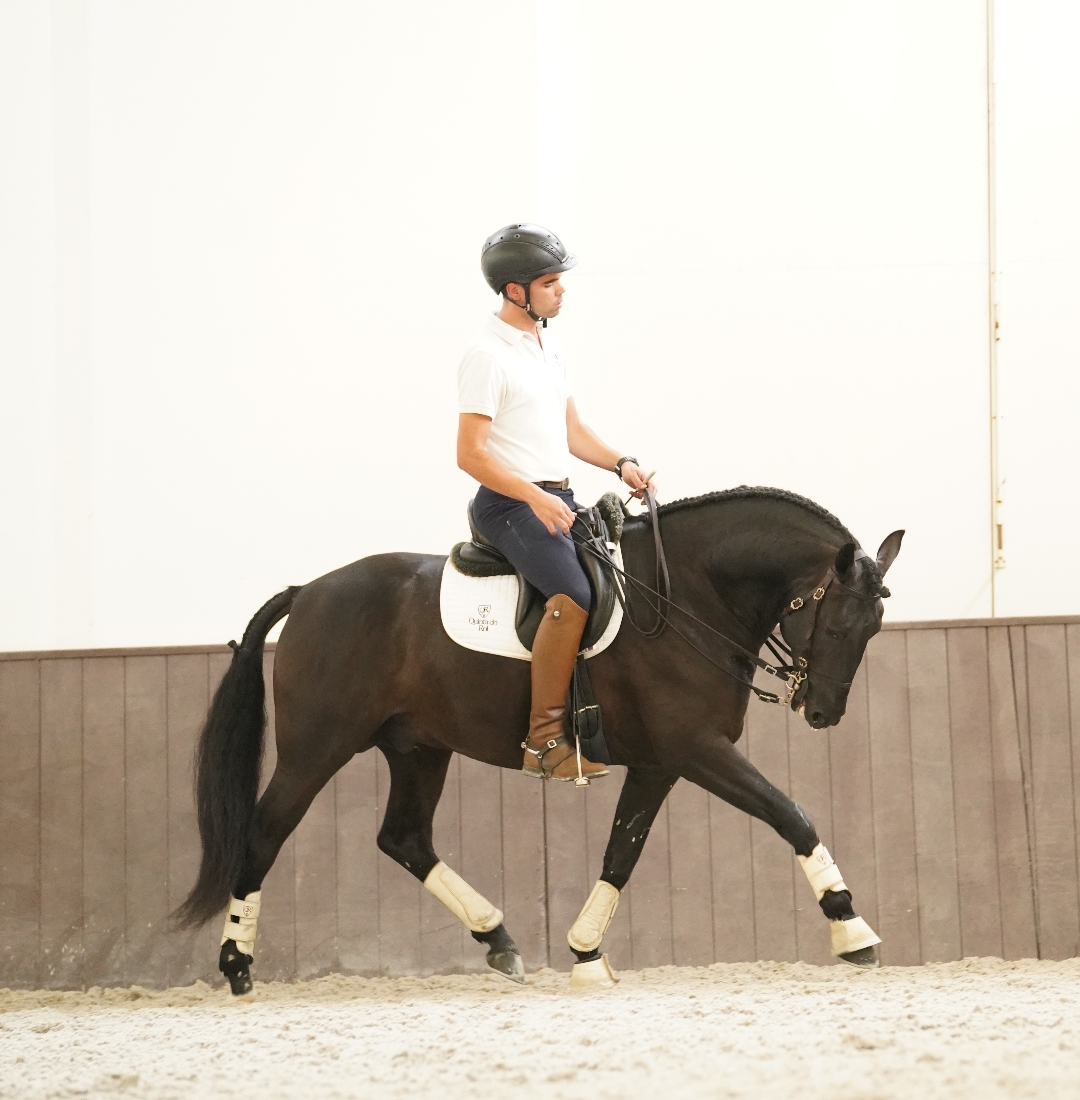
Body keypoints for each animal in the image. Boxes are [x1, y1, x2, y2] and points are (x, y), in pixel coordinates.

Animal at [175, 486, 903, 995]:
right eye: (840, 623)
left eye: (875, 628)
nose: (823, 712)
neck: (688, 596)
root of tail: (307, 593)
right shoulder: (696, 749)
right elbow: (791, 815)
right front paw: (852, 929)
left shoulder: (661, 763)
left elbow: (621, 854)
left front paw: (585, 954)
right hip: (316, 748)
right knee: (265, 833)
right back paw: (237, 963)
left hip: (418, 748)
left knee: (404, 838)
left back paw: (498, 939)